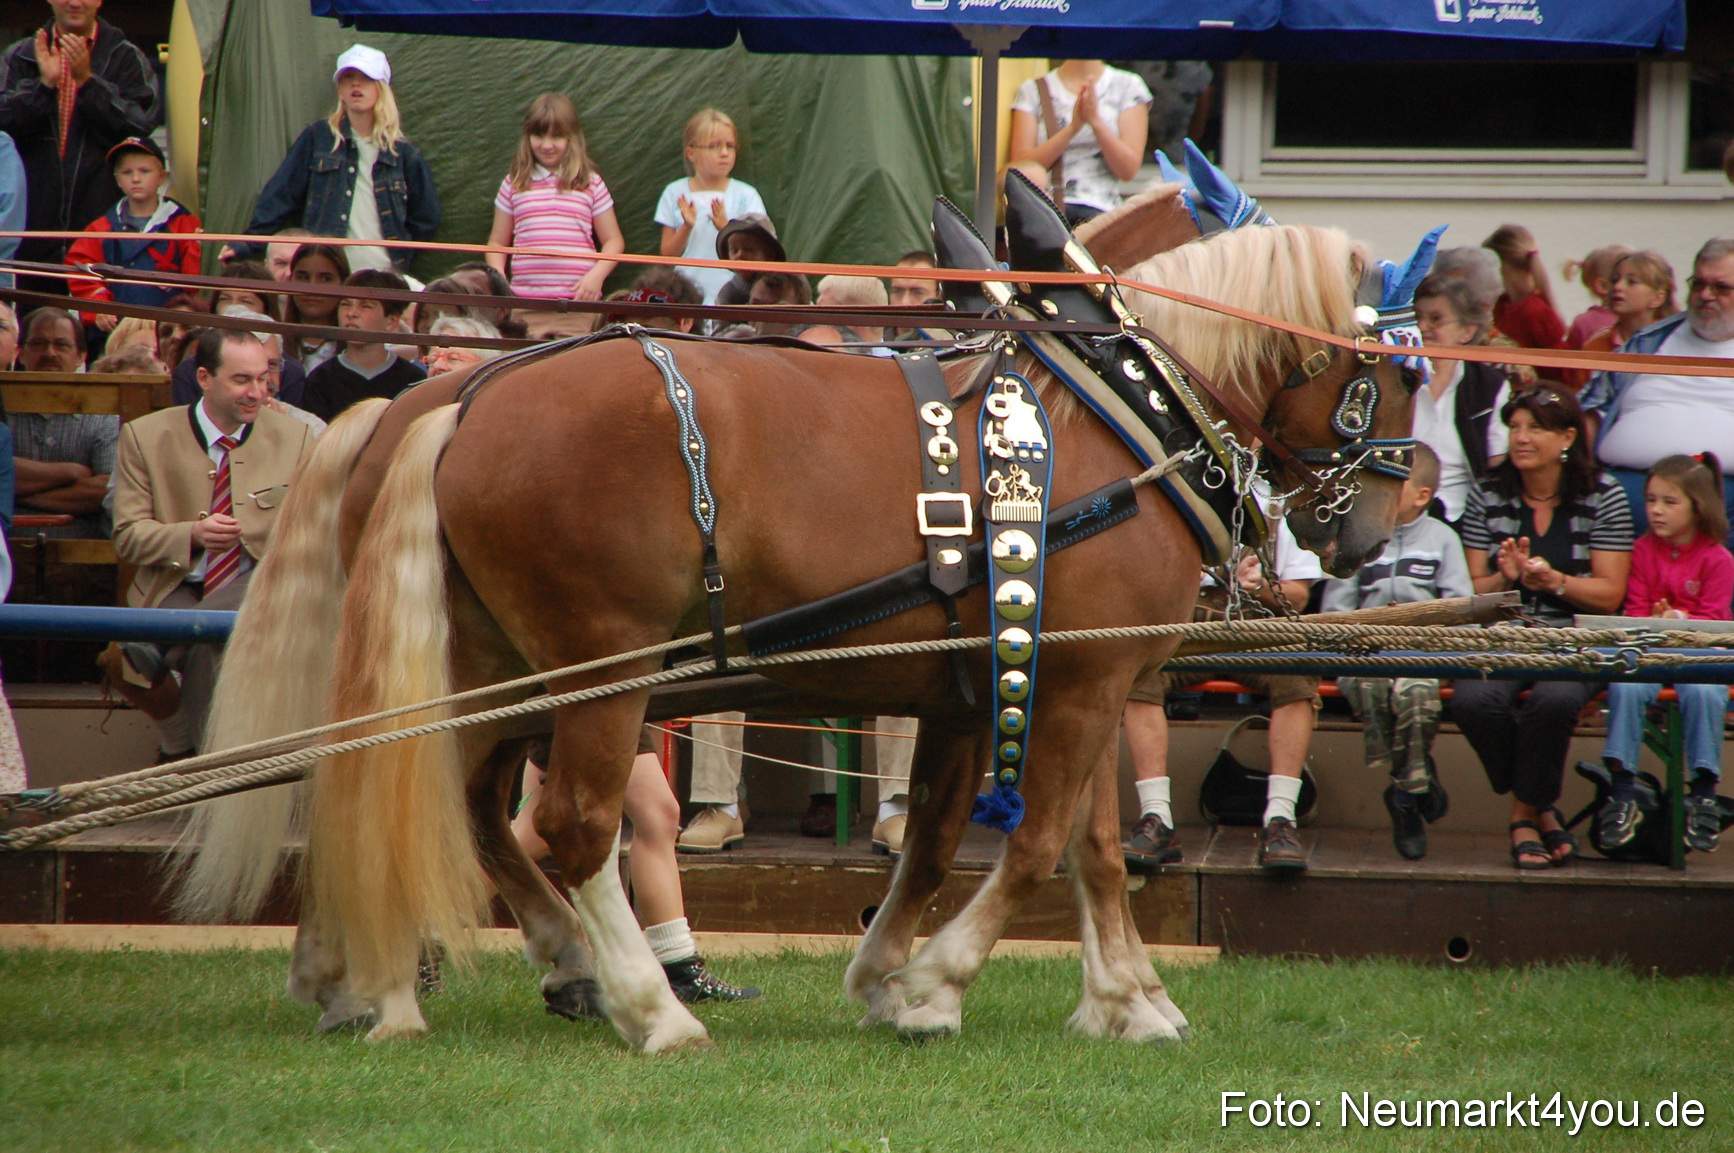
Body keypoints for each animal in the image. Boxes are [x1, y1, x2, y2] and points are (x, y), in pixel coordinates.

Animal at [174, 190, 1423, 1051]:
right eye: (1403, 372)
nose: (1375, 523)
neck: (1125, 407)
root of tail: (459, 398)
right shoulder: (1075, 682)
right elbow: (1032, 848)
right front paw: (938, 986)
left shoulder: (1054, 680)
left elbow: (1027, 848)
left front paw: (1110, 997)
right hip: (598, 665)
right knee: (568, 825)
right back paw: (644, 1008)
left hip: (487, 659)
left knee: (422, 791)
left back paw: (405, 978)